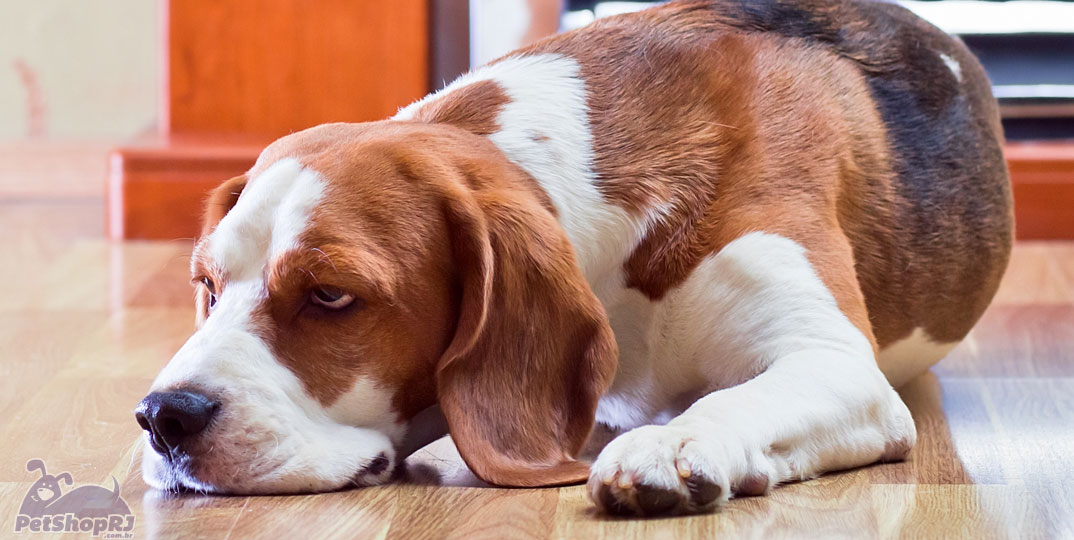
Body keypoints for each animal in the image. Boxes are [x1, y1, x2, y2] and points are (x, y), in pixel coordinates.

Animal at [134, 0, 1005, 517]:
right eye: (207, 286)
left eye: (330, 295)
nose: (162, 417)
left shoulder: (836, 365)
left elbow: (737, 398)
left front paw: (670, 444)